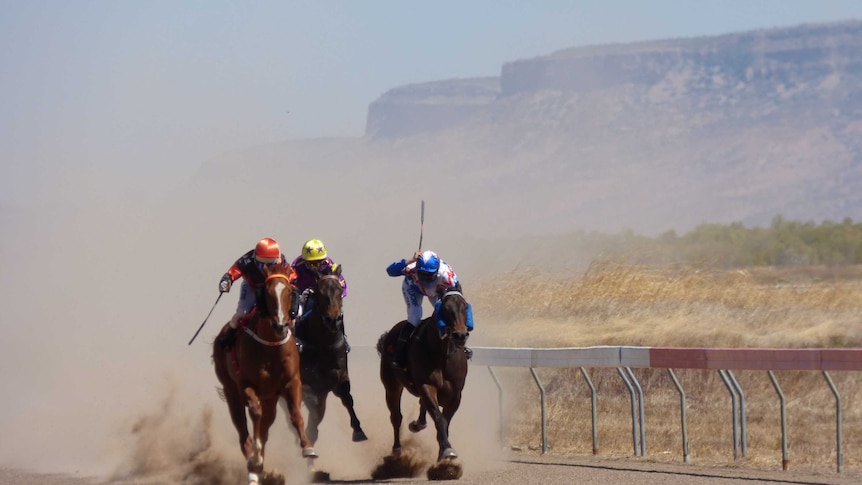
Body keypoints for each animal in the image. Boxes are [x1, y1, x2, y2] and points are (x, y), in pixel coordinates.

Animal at [213, 262, 318, 482]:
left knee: (266, 425)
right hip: (231, 392)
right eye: (267, 293)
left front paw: (308, 448)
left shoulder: (292, 382)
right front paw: (255, 459)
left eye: (289, 292)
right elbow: (255, 414)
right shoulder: (246, 385)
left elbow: (295, 415)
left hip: (271, 398)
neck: (270, 346)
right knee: (243, 431)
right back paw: (253, 467)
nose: (280, 325)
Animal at [296, 262, 368, 444]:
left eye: (340, 290)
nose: (333, 320)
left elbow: (347, 397)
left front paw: (358, 431)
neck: (323, 344)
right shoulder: (307, 382)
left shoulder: (339, 373)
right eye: (320, 293)